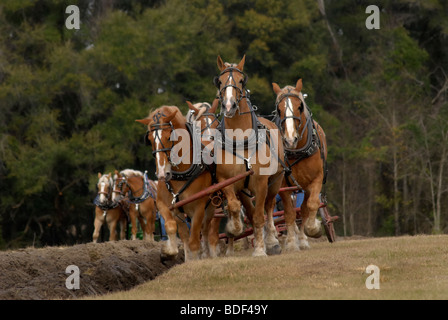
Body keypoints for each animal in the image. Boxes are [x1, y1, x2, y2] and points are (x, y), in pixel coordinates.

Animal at [136, 106, 213, 262]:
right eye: (149, 139)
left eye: (169, 137)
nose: (161, 174)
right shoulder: (163, 204)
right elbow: (171, 227)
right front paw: (168, 251)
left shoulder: (198, 208)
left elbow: (194, 242)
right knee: (186, 235)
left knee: (206, 232)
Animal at [213, 54, 284, 255]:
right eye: (219, 81)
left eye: (241, 81)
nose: (229, 106)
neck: (241, 140)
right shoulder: (226, 181)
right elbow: (236, 206)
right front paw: (233, 228)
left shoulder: (261, 182)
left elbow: (260, 215)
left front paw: (260, 249)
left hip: (276, 181)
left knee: (268, 207)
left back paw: (272, 240)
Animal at [272, 79, 328, 250]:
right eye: (279, 109)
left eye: (300, 107)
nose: (290, 139)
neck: (296, 150)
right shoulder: (283, 186)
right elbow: (289, 214)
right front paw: (291, 243)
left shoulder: (316, 180)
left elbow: (311, 205)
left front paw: (313, 228)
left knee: (304, 209)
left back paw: (303, 238)